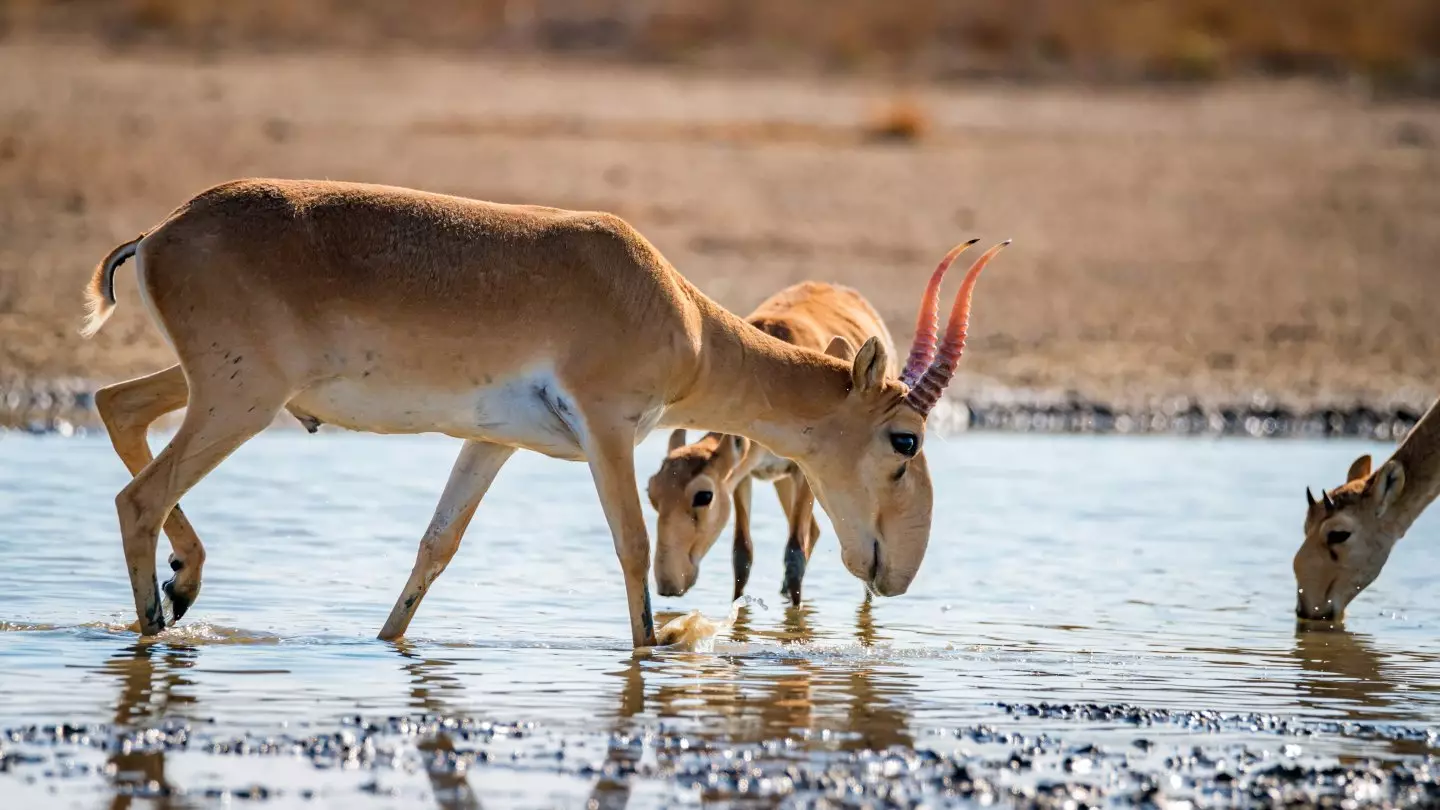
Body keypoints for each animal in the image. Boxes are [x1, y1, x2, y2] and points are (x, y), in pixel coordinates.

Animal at [650, 276, 898, 599]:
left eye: (704, 495)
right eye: (652, 492)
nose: (668, 584)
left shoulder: (806, 473)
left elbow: (794, 553)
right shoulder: (744, 475)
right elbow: (741, 555)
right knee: (814, 530)